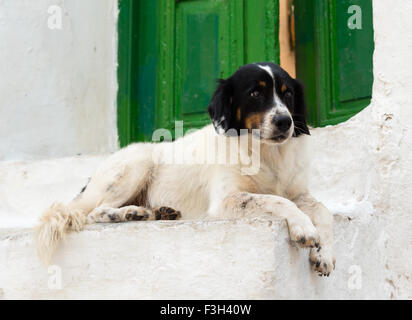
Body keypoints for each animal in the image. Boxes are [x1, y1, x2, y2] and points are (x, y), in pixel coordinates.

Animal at [35, 62, 336, 276]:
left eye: (288, 94)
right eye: (255, 93)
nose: (285, 121)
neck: (266, 153)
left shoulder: (298, 192)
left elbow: (323, 210)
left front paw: (325, 253)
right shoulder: (226, 201)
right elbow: (278, 201)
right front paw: (303, 227)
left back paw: (156, 212)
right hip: (137, 162)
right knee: (94, 212)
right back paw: (130, 213)